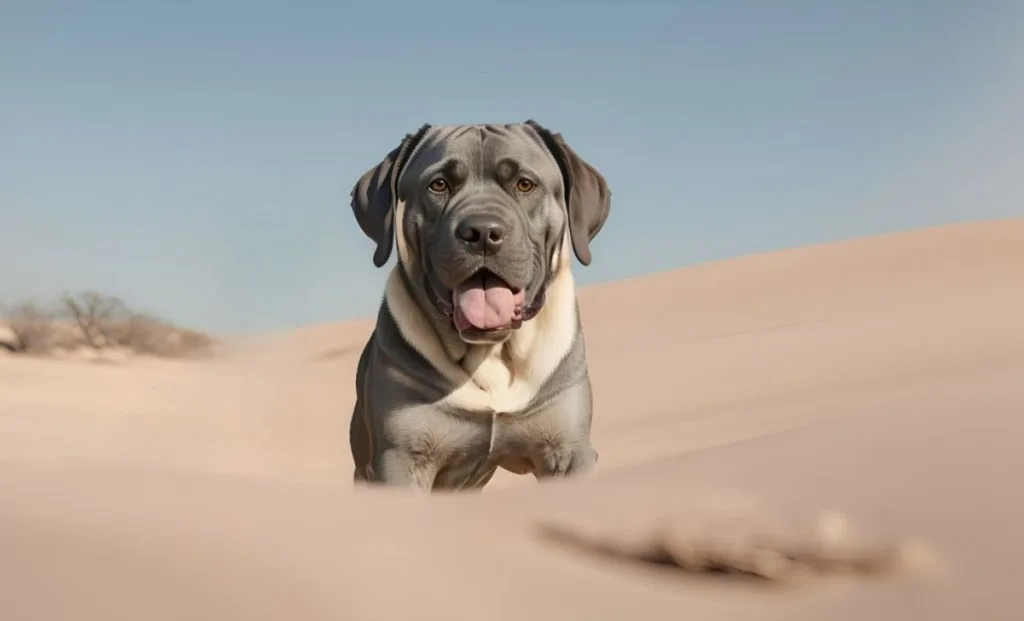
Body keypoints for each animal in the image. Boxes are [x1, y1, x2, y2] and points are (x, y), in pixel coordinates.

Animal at [348, 120, 610, 491]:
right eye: (439, 184)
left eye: (524, 184)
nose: (482, 232)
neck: (491, 354)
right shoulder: (401, 458)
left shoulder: (568, 450)